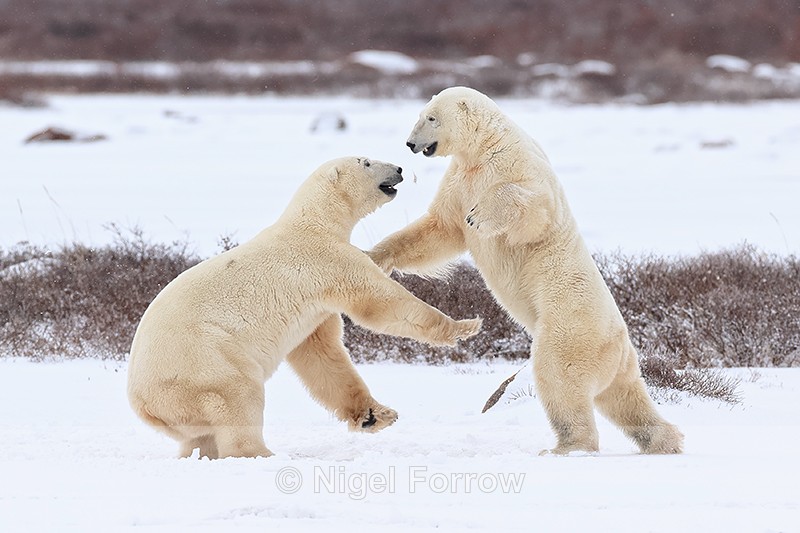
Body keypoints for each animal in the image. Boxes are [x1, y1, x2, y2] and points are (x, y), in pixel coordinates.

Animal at [127, 156, 482, 459]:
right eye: (366, 161)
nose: (398, 168)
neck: (314, 220)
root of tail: (144, 403)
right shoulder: (327, 260)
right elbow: (382, 304)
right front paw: (464, 327)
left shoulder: (315, 304)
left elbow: (321, 353)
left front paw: (376, 415)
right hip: (204, 365)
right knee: (239, 398)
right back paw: (260, 453)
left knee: (198, 435)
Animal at [369, 87, 684, 455]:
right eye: (420, 115)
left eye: (431, 118)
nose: (410, 144)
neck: (484, 148)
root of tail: (620, 344)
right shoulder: (461, 178)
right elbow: (440, 227)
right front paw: (375, 256)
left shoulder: (514, 166)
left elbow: (535, 213)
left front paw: (479, 216)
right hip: (617, 363)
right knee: (625, 398)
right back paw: (665, 440)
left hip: (570, 327)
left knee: (559, 375)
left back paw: (567, 446)